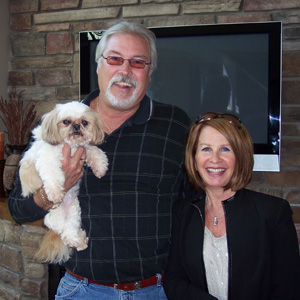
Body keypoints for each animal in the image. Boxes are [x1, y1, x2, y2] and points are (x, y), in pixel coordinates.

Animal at [19, 102, 108, 264]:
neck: (70, 146)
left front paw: (100, 167)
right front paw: (55, 193)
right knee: (62, 228)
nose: (77, 126)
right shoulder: (48, 160)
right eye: (66, 121)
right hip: (53, 215)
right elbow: (53, 176)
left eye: (84, 122)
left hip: (74, 211)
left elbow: (93, 150)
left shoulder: (84, 149)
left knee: (71, 228)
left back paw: (79, 240)